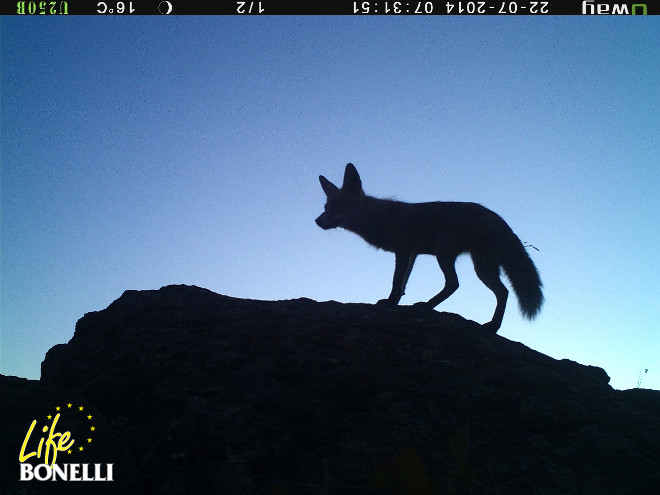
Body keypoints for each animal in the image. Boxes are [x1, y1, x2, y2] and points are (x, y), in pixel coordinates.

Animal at [318, 164, 544, 334]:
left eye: (338, 206)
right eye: (326, 208)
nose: (317, 221)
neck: (380, 218)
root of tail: (495, 216)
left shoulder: (404, 249)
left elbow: (396, 281)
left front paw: (390, 302)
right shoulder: (412, 254)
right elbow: (403, 283)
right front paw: (397, 300)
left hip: (445, 254)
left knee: (454, 284)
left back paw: (427, 306)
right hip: (481, 267)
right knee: (502, 292)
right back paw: (493, 326)